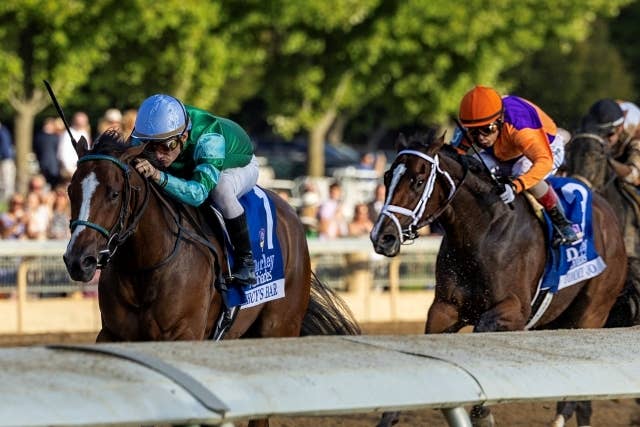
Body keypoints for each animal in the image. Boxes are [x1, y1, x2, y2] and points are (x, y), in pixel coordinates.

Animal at [62, 131, 360, 427]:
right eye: (70, 190)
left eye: (114, 193)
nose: (78, 260)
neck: (144, 267)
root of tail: (292, 215)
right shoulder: (113, 335)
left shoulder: (183, 336)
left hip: (278, 326)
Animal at [370, 131, 627, 427]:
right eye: (387, 177)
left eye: (418, 181)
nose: (382, 237)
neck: (481, 232)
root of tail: (610, 215)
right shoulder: (445, 307)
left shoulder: (515, 312)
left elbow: (483, 329)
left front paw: (483, 412)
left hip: (591, 313)